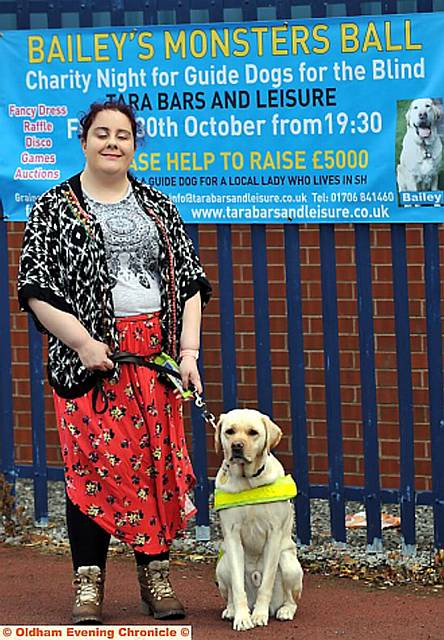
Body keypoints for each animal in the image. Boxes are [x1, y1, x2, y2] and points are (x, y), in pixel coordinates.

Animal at [214, 410, 302, 632]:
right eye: (229, 431)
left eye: (253, 432)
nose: (237, 446)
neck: (248, 481)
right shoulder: (233, 536)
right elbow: (238, 587)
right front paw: (242, 618)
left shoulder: (274, 535)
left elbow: (266, 584)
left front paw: (259, 616)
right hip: (222, 565)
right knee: (230, 591)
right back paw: (231, 610)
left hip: (288, 563)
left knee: (291, 599)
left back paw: (284, 610)